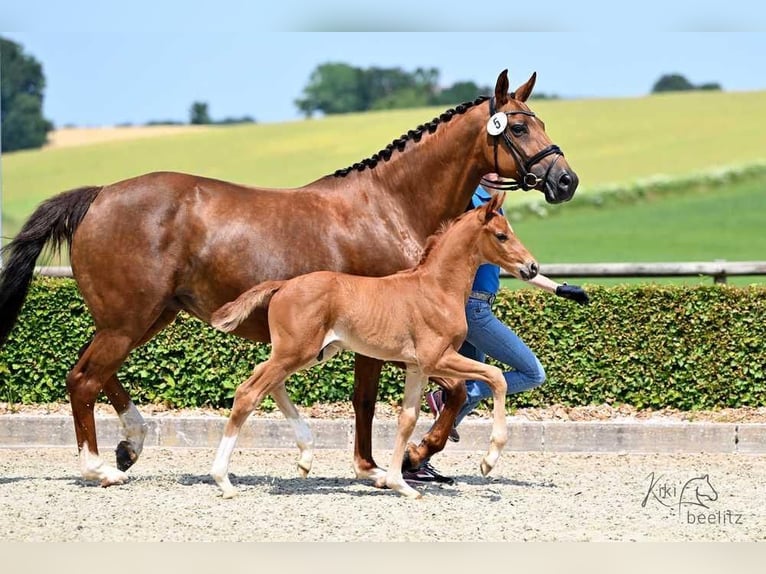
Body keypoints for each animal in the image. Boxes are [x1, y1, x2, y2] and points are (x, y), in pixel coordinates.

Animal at [207, 194, 536, 500]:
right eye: (501, 235)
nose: (531, 267)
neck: (437, 289)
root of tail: (283, 285)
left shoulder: (417, 368)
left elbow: (407, 419)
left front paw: (400, 484)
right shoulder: (438, 358)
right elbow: (496, 376)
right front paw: (489, 461)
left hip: (309, 353)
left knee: (271, 383)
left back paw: (306, 456)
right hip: (295, 352)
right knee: (249, 392)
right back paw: (224, 480)